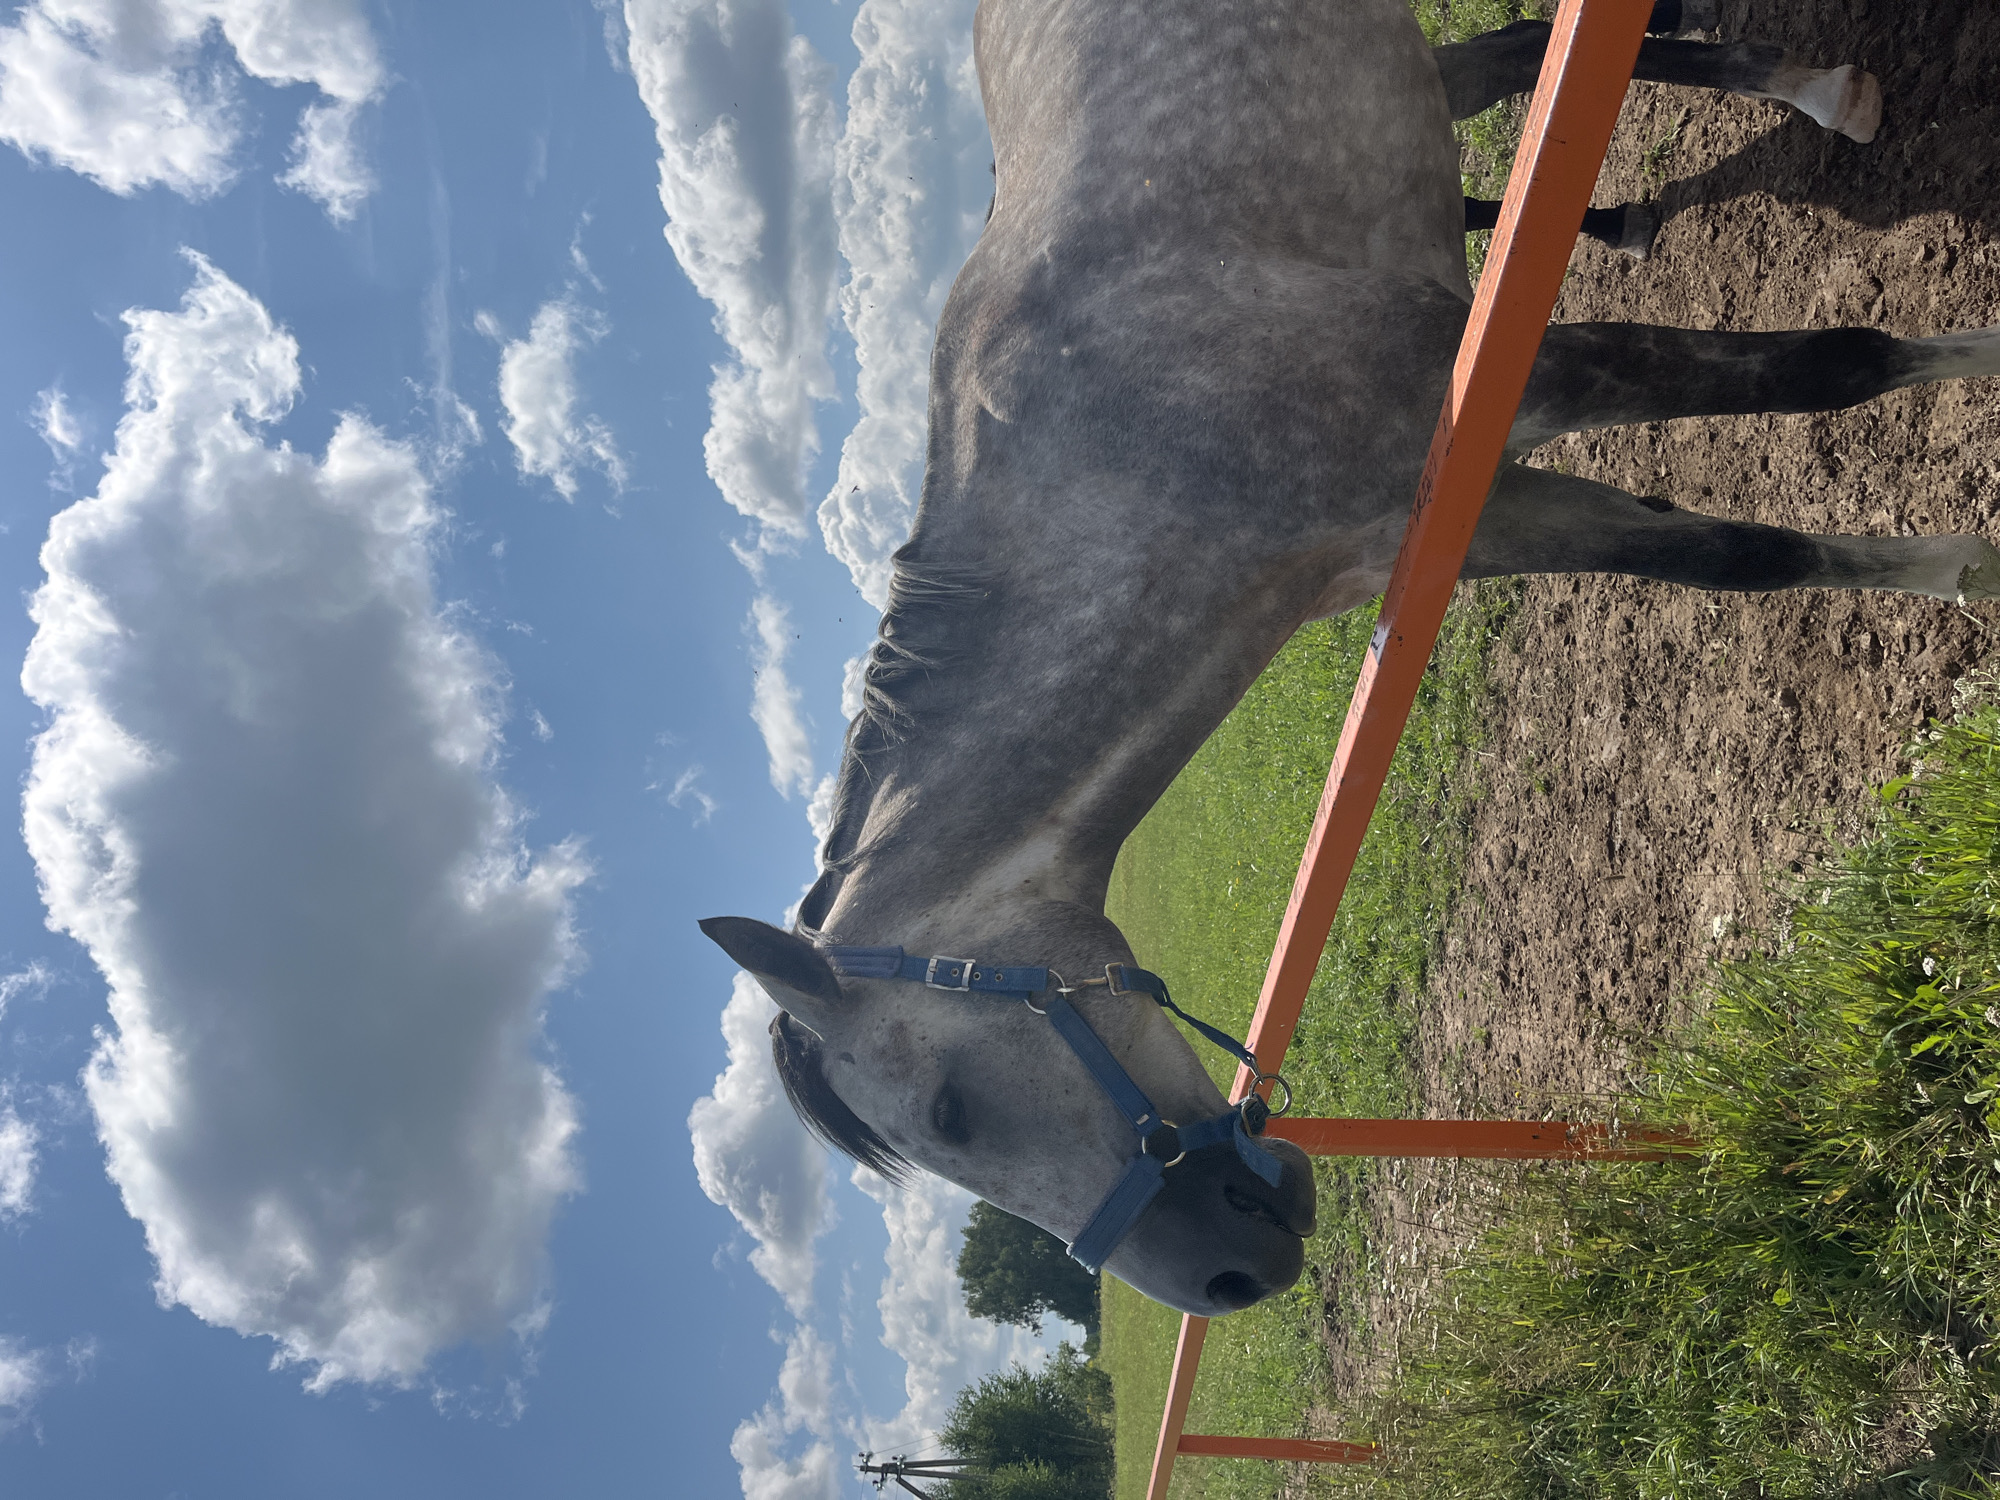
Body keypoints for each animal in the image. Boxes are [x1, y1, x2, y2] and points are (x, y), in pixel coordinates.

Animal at [704, 0, 2000, 1317]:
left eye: (948, 1114)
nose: (1227, 1277)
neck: (1134, 452)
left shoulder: (1528, 376)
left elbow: (1832, 367)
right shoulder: (1472, 512)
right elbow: (1737, 559)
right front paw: (1961, 569)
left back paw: (1818, 92)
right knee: (1509, 51)